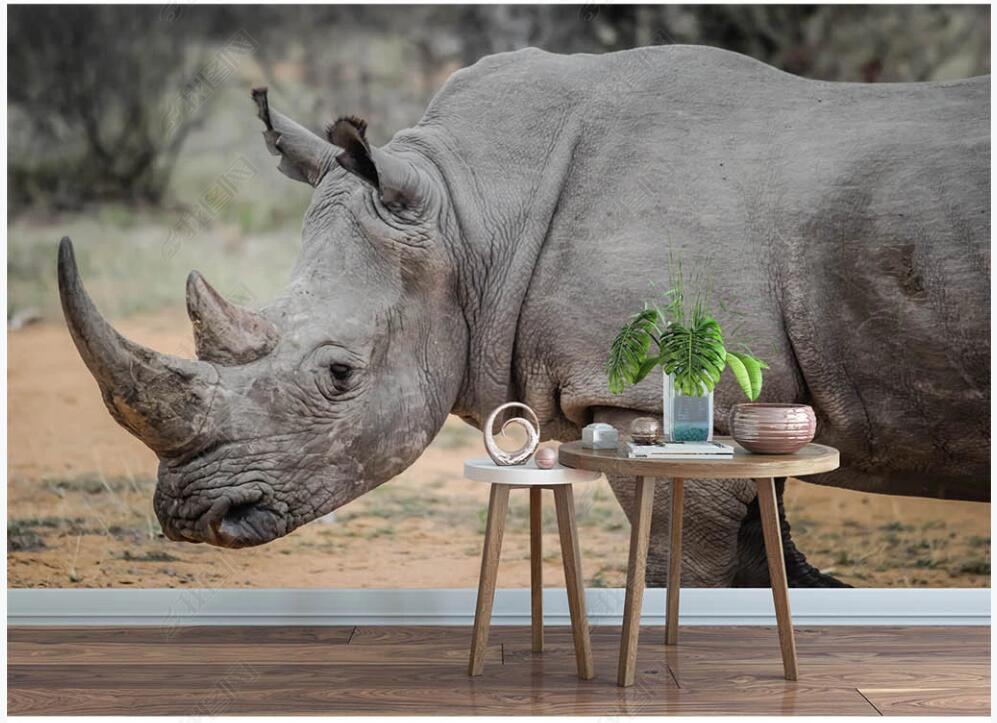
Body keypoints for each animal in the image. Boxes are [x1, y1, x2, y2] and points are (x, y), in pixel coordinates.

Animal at [58, 46, 989, 587]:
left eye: (338, 374)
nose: (193, 518)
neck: (469, 217)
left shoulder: (664, 397)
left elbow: (690, 573)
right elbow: (768, 565)